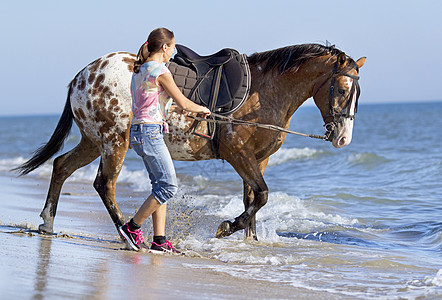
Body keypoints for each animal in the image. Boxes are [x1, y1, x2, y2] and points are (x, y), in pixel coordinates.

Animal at [15, 42, 366, 240]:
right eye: (342, 89)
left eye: (358, 94)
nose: (343, 138)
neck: (264, 91)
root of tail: (82, 75)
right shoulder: (238, 153)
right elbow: (262, 196)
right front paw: (226, 228)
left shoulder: (259, 158)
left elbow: (252, 200)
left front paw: (249, 242)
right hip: (114, 142)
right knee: (104, 184)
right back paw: (127, 234)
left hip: (93, 140)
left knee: (61, 166)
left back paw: (47, 223)